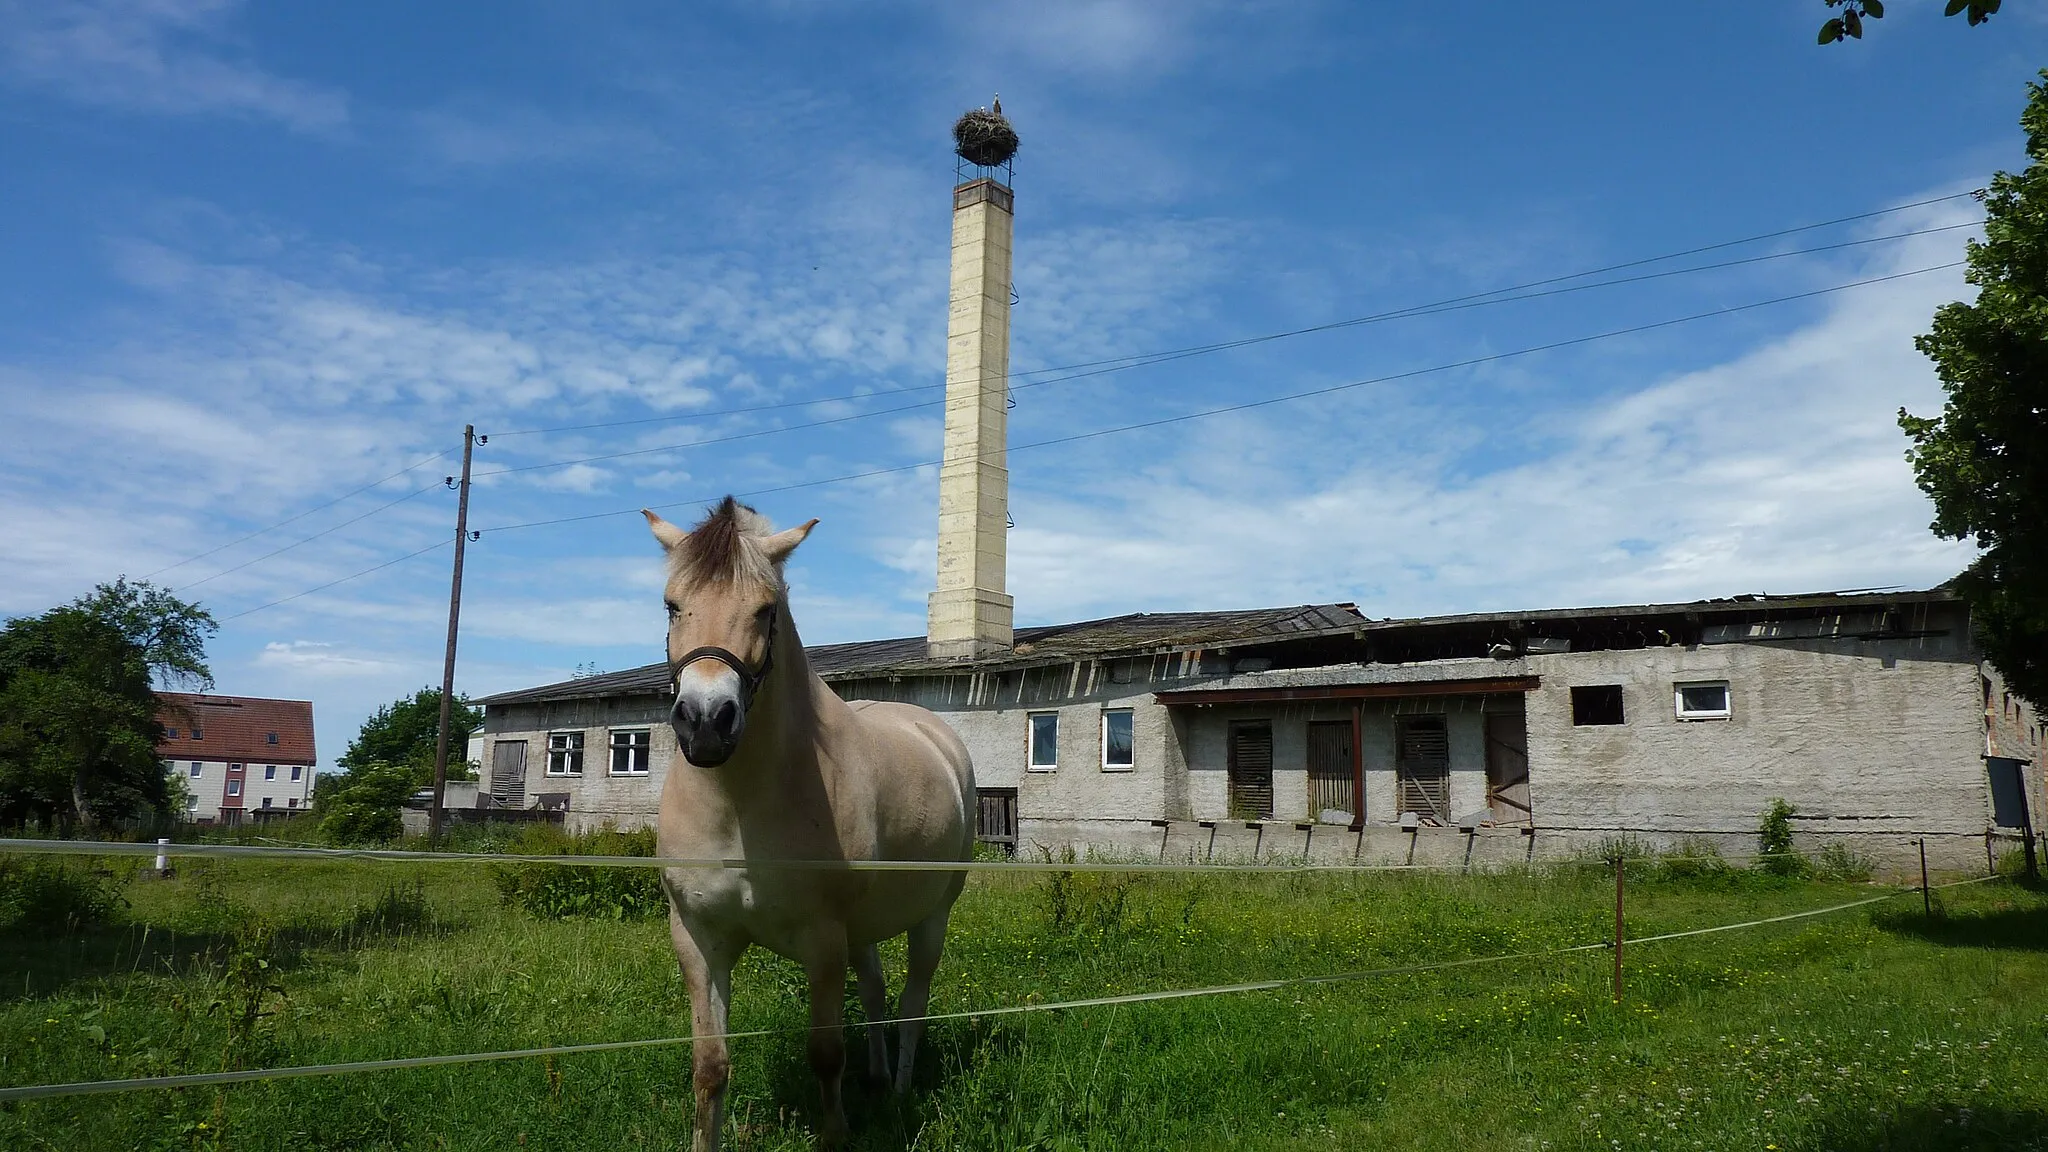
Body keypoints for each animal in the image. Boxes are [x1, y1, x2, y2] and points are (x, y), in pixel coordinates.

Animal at [651, 496, 978, 1147]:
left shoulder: (823, 940)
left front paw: (837, 1133)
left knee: (913, 1002)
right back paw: (877, 1077)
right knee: (876, 992)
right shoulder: (698, 938)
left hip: (932, 915)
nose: (705, 723)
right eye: (673, 604)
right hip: (864, 930)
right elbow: (710, 1066)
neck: (740, 807)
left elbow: (826, 1054)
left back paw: (898, 1090)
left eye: (765, 609)